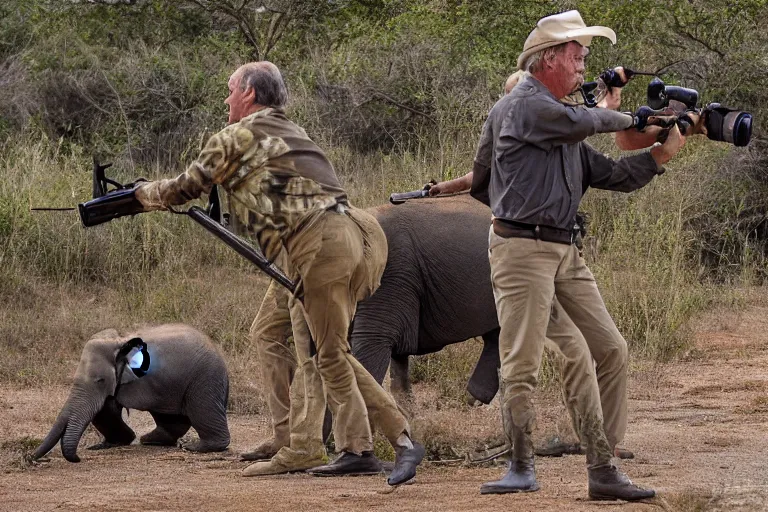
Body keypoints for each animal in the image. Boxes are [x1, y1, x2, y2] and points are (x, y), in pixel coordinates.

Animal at [33, 324, 230, 464]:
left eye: (100, 380)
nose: (30, 457)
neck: (118, 343)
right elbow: (105, 409)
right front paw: (105, 445)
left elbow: (106, 408)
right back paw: (150, 440)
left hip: (205, 379)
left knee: (201, 411)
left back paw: (193, 447)